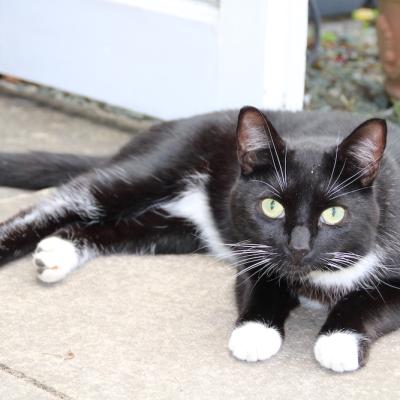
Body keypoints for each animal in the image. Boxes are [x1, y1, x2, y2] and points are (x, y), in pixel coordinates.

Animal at [0, 104, 400, 374]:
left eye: (333, 214)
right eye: (271, 206)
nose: (299, 247)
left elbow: (367, 299)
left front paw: (338, 341)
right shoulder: (252, 246)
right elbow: (259, 283)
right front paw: (255, 333)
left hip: (177, 228)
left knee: (116, 226)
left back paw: (57, 251)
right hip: (158, 164)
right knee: (71, 199)